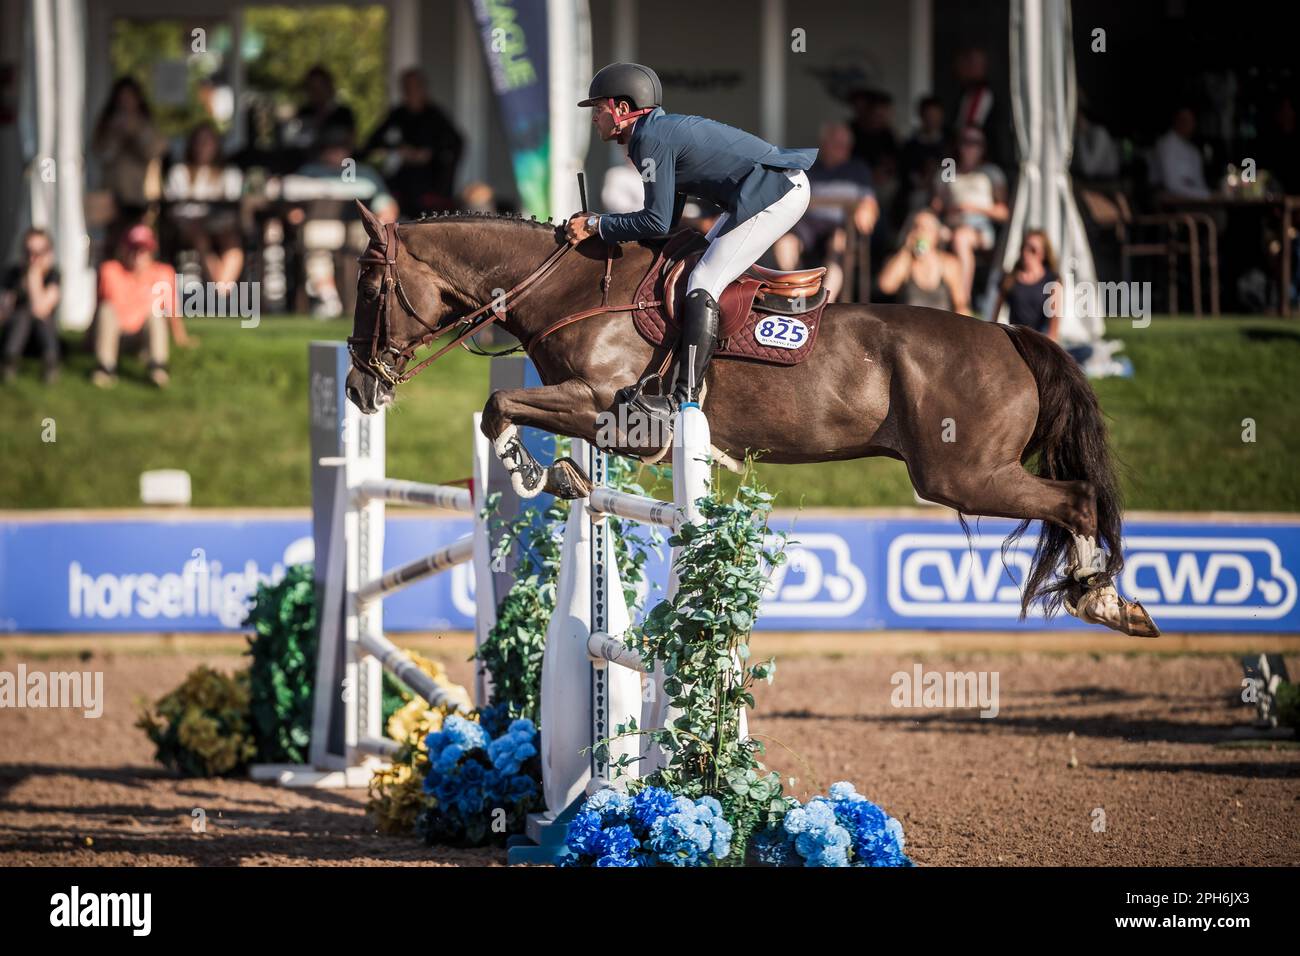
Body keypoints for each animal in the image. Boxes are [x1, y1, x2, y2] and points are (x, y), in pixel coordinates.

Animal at [345, 201, 1159, 634]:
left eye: (371, 289)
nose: (358, 387)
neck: (573, 289)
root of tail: (1012, 335)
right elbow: (504, 409)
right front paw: (561, 475)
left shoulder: (604, 406)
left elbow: (498, 406)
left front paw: (534, 471)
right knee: (1074, 501)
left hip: (963, 473)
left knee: (1076, 500)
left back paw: (1103, 598)